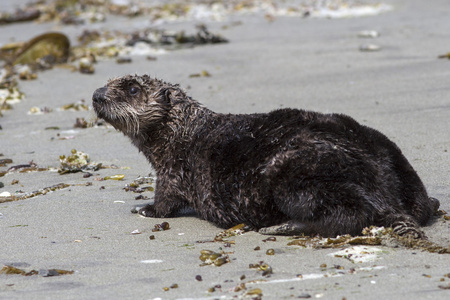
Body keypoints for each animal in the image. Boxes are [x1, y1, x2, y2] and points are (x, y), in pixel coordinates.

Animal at [92, 74, 440, 237]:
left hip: (295, 173)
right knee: (424, 205)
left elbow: (165, 200)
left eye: (132, 89)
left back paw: (281, 227)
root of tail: (385, 194)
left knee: (349, 215)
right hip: (396, 162)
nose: (96, 94)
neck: (186, 130)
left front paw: (145, 208)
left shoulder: (172, 171)